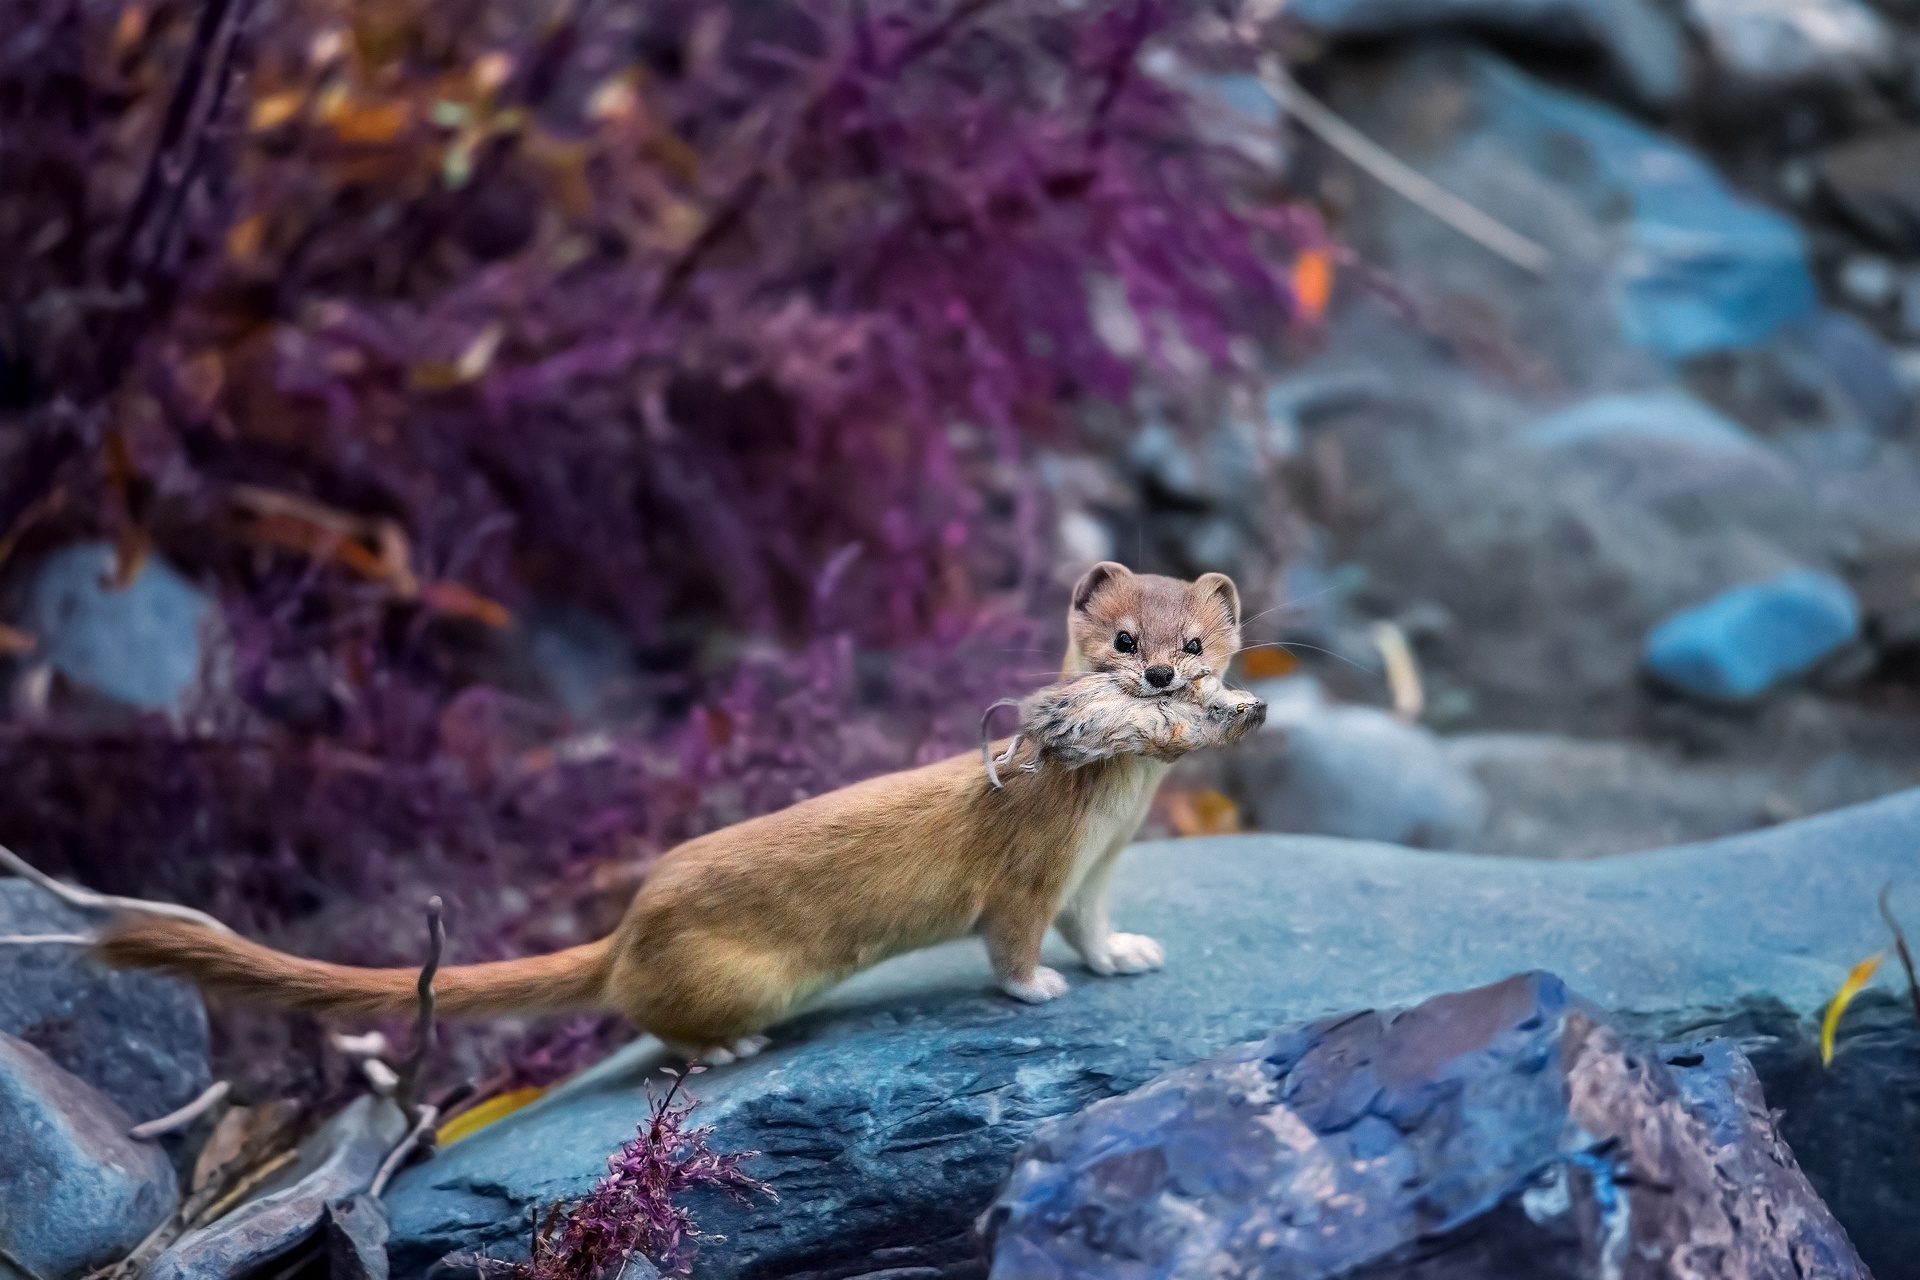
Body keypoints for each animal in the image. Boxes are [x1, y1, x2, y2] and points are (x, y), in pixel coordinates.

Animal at [97, 568, 1251, 1059]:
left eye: (1194, 644)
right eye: (1121, 638)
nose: (1157, 674)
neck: (1104, 821)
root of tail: (628, 926)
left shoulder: (1097, 870)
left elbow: (1094, 926)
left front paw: (1126, 955)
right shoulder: (1025, 872)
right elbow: (1012, 942)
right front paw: (1039, 987)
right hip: (739, 975)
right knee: (648, 1016)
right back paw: (726, 1050)